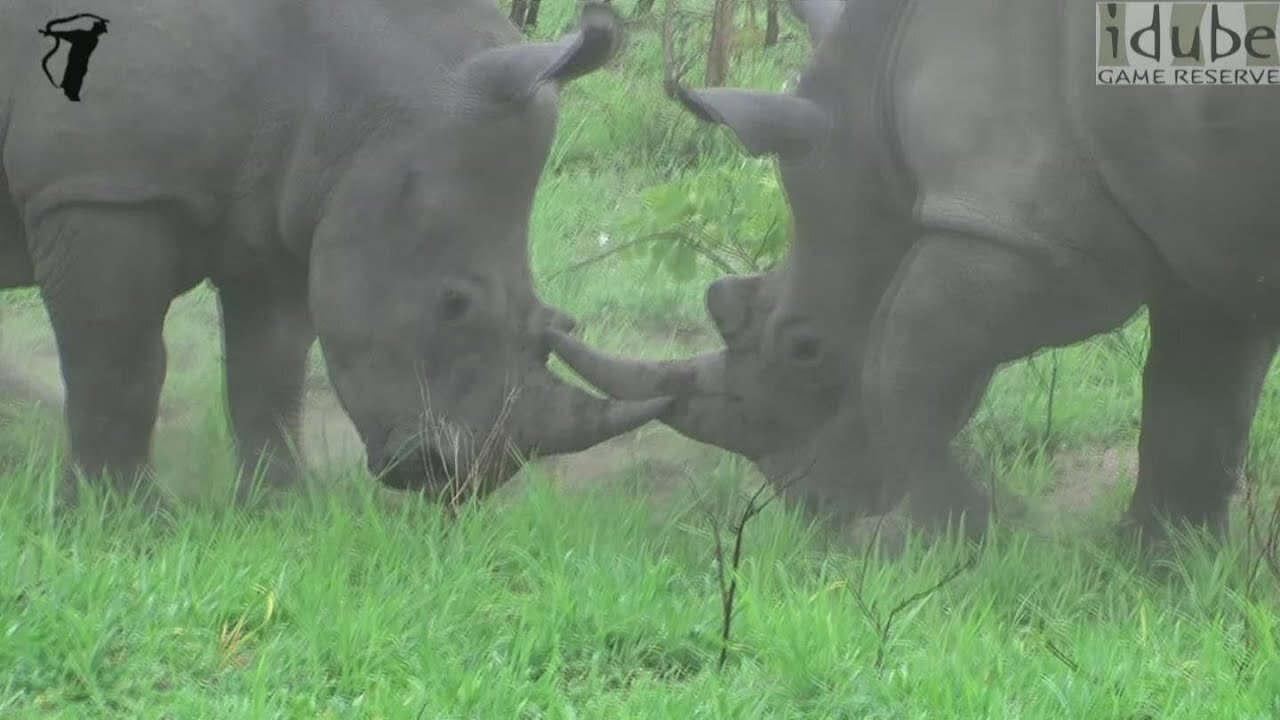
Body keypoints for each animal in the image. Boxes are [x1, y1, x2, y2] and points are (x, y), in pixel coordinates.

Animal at [5, 1, 670, 504]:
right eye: (454, 303)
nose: (465, 480)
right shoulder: (100, 187)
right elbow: (120, 370)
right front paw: (128, 524)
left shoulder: (278, 198)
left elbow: (269, 369)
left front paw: (281, 509)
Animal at [555, 0, 1280, 538]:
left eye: (805, 351)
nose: (814, 509)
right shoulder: (1201, 229)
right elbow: (1196, 401)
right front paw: (1158, 563)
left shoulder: (1029, 236)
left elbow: (902, 364)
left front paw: (945, 540)